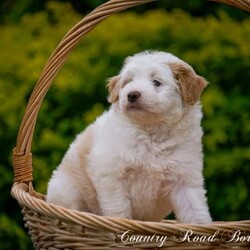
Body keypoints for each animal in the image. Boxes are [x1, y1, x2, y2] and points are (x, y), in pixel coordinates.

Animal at [46, 49, 212, 224]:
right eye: (128, 82)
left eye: (156, 82)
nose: (132, 95)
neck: (152, 133)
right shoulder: (111, 175)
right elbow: (118, 209)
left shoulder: (186, 180)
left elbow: (196, 211)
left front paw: (201, 228)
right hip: (68, 191)